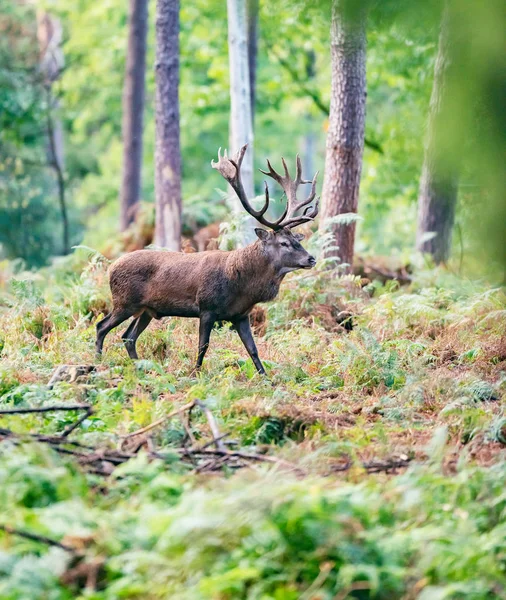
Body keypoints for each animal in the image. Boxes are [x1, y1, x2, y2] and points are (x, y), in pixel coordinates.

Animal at [95, 143, 318, 372]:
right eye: (283, 243)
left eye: (296, 239)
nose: (311, 259)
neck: (242, 286)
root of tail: (111, 268)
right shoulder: (207, 308)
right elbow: (203, 345)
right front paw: (196, 372)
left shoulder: (241, 315)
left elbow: (253, 350)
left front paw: (265, 376)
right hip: (124, 301)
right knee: (101, 326)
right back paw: (99, 360)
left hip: (146, 310)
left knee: (128, 336)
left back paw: (140, 366)